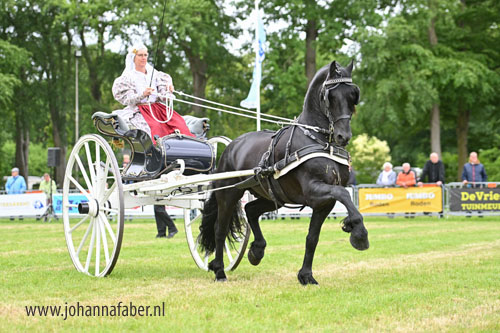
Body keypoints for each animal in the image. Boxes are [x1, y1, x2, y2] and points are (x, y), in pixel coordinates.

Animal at [198, 59, 368, 282]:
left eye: (352, 95)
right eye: (330, 96)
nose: (343, 136)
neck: (319, 141)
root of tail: (231, 146)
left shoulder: (324, 203)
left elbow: (312, 237)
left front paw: (306, 276)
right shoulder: (313, 190)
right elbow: (343, 194)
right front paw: (358, 232)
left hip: (272, 197)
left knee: (250, 210)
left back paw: (257, 250)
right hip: (229, 194)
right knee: (220, 229)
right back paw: (219, 270)